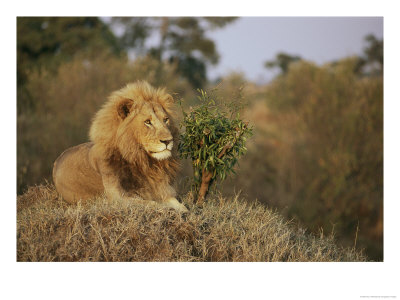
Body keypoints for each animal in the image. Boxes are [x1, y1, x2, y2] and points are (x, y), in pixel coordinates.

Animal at [52, 81, 188, 212]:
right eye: (147, 122)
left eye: (165, 120)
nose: (168, 140)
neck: (142, 161)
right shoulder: (117, 198)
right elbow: (153, 204)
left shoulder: (160, 189)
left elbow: (180, 205)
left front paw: (183, 210)